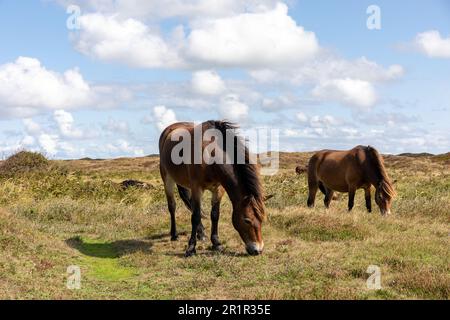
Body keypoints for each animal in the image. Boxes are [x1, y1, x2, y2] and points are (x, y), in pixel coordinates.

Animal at [158, 120, 266, 258]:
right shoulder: (196, 188)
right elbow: (195, 216)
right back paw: (174, 235)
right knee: (172, 206)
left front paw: (216, 243)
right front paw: (191, 248)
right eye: (247, 220)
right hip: (167, 179)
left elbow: (214, 214)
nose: (258, 250)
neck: (210, 155)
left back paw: (201, 233)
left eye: (262, 219)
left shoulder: (218, 189)